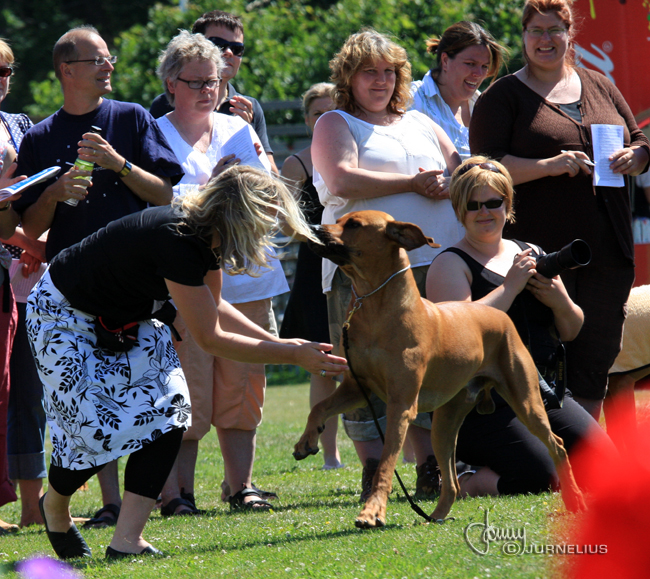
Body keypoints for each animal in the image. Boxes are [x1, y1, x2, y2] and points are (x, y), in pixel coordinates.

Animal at [292, 211, 584, 528]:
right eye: (338, 218)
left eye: (355, 225)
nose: (313, 227)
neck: (374, 306)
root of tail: (500, 314)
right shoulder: (357, 387)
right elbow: (319, 407)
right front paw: (306, 440)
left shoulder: (401, 406)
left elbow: (385, 464)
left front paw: (372, 511)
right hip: (445, 423)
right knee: (453, 482)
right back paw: (435, 516)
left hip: (526, 400)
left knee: (557, 444)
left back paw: (575, 498)